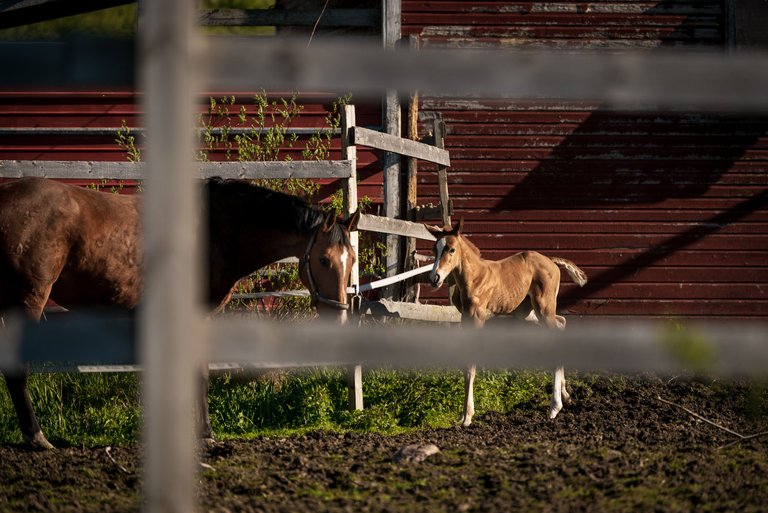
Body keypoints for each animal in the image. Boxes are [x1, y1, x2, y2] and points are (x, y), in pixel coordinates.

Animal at [0, 177, 360, 448]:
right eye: (324, 260)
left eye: (352, 260)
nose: (339, 317)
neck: (215, 231)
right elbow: (199, 376)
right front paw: (205, 434)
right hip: (27, 300)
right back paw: (37, 438)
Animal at [426, 219, 588, 424]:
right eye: (434, 249)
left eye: (452, 249)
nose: (435, 278)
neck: (474, 277)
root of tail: (551, 261)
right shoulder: (465, 318)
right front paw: (462, 415)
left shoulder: (476, 317)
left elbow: (471, 366)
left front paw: (467, 417)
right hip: (527, 313)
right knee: (562, 323)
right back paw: (565, 395)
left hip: (543, 308)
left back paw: (554, 407)